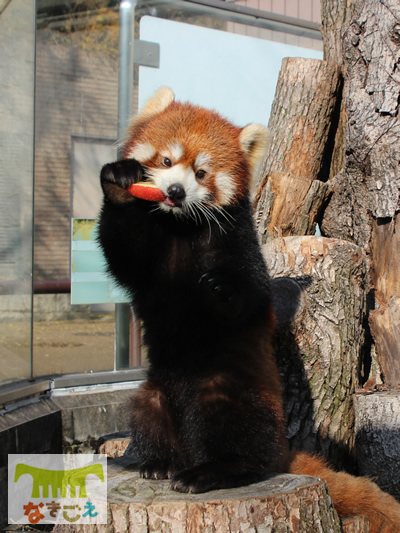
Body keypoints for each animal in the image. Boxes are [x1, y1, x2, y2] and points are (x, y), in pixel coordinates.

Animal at [98, 85, 400, 528]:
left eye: (201, 173)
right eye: (167, 161)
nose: (174, 192)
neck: (178, 227)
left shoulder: (238, 242)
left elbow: (251, 295)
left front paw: (222, 287)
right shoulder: (146, 260)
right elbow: (120, 252)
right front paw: (119, 181)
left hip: (235, 390)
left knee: (238, 434)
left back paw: (213, 471)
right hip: (154, 393)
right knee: (147, 410)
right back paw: (158, 463)